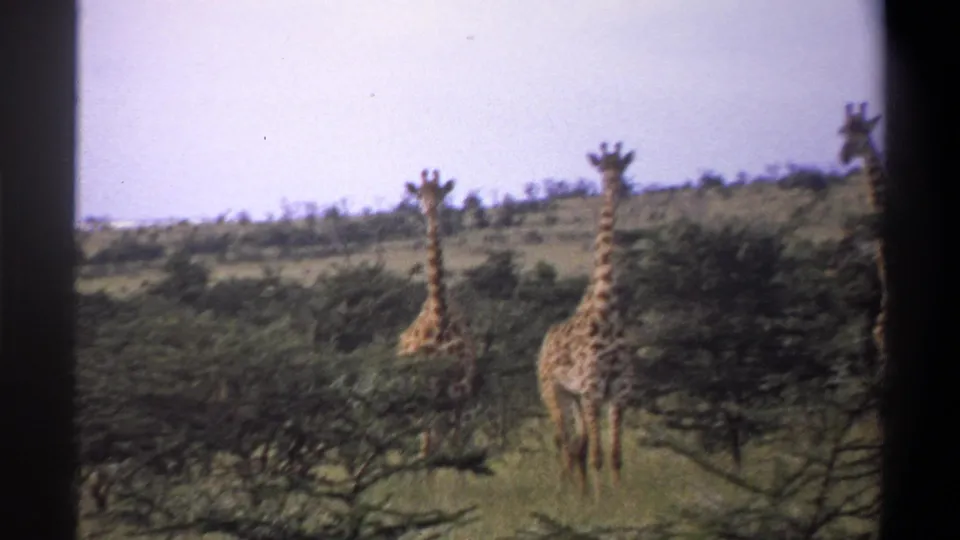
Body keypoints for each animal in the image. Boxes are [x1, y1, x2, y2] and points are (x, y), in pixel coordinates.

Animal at [398, 169, 482, 460]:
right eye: (419, 194)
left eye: (442, 192)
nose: (430, 208)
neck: (440, 318)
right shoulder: (429, 392)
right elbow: (428, 445)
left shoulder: (460, 393)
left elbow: (457, 446)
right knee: (426, 439)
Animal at [537, 141, 636, 499]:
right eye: (601, 169)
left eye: (622, 167)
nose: (615, 185)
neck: (606, 311)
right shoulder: (592, 389)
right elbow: (596, 454)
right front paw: (600, 499)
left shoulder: (619, 391)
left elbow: (615, 453)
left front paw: (621, 497)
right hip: (555, 393)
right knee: (564, 442)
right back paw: (566, 492)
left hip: (576, 397)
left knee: (576, 444)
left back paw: (577, 491)